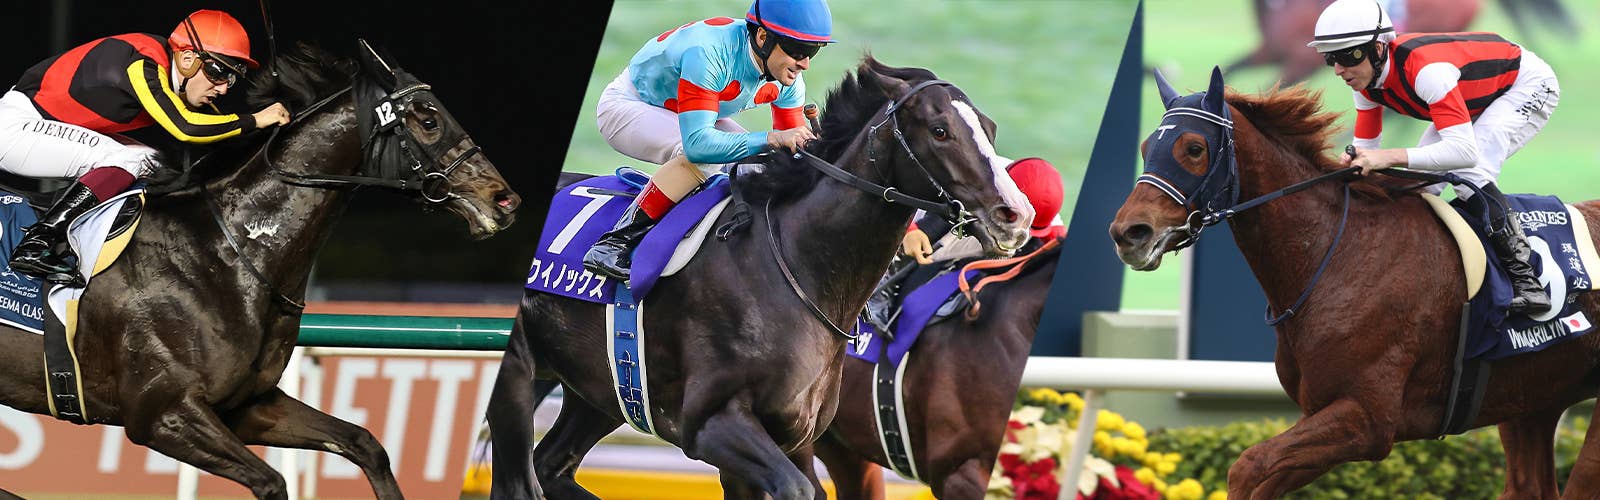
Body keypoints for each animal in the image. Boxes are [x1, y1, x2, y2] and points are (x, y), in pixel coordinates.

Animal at [0, 41, 519, 499]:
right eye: (429, 119)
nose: (505, 200)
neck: (223, 253)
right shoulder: (160, 412)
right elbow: (273, 482)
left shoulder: (247, 406)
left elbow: (364, 443)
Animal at [486, 56, 1034, 500]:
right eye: (940, 130)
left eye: (989, 128)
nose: (1016, 215)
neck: (797, 270)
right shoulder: (712, 424)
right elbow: (797, 489)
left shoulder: (790, 438)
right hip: (521, 374)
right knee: (521, 480)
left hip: (602, 390)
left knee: (550, 467)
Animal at [1108, 67, 1600, 499]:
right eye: (1147, 145)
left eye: (1193, 148)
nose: (1129, 233)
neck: (1338, 253)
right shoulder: (1322, 415)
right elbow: (1260, 473)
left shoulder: (1368, 419)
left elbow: (1246, 467)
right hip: (1530, 398)